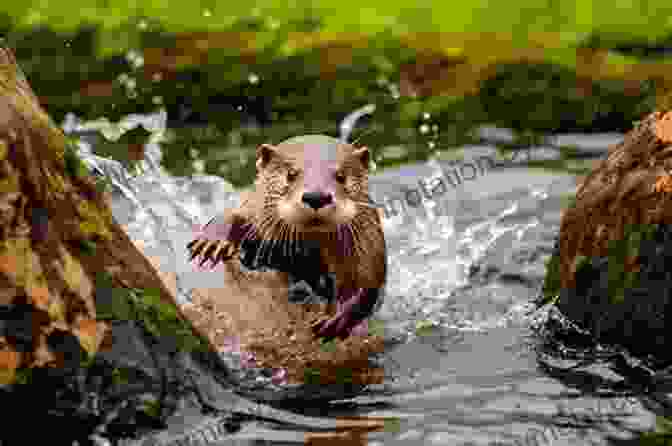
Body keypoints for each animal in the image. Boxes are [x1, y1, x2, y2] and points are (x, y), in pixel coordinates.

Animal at [188, 134, 388, 340]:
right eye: (291, 174)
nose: (316, 196)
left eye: (341, 176)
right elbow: (234, 215)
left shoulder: (365, 247)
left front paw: (335, 318)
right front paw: (212, 240)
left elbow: (362, 284)